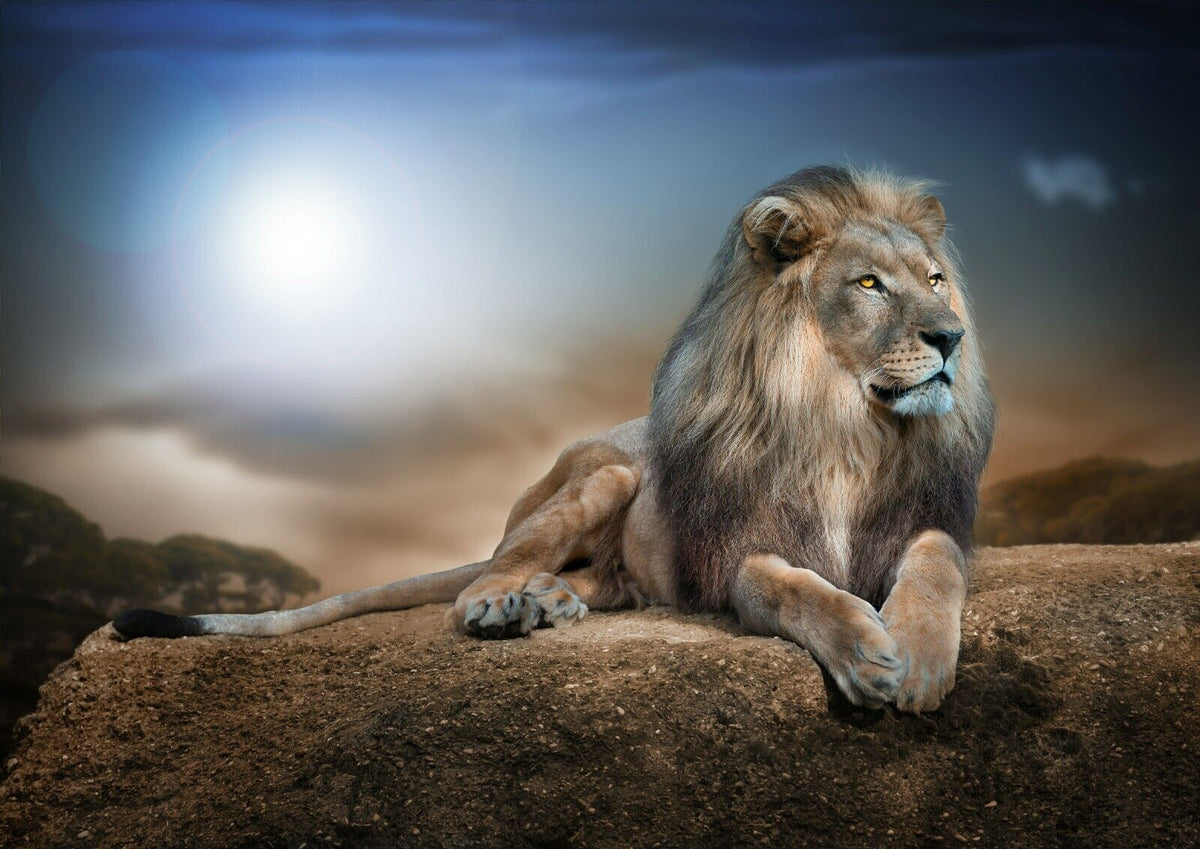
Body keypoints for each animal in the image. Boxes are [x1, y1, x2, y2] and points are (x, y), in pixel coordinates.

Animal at [115, 165, 994, 713]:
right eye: (869, 284)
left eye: (936, 280)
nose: (951, 336)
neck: (847, 426)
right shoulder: (738, 553)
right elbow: (793, 588)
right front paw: (866, 651)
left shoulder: (925, 520)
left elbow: (935, 565)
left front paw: (916, 656)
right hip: (605, 475)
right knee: (488, 570)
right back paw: (505, 604)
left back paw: (551, 601)